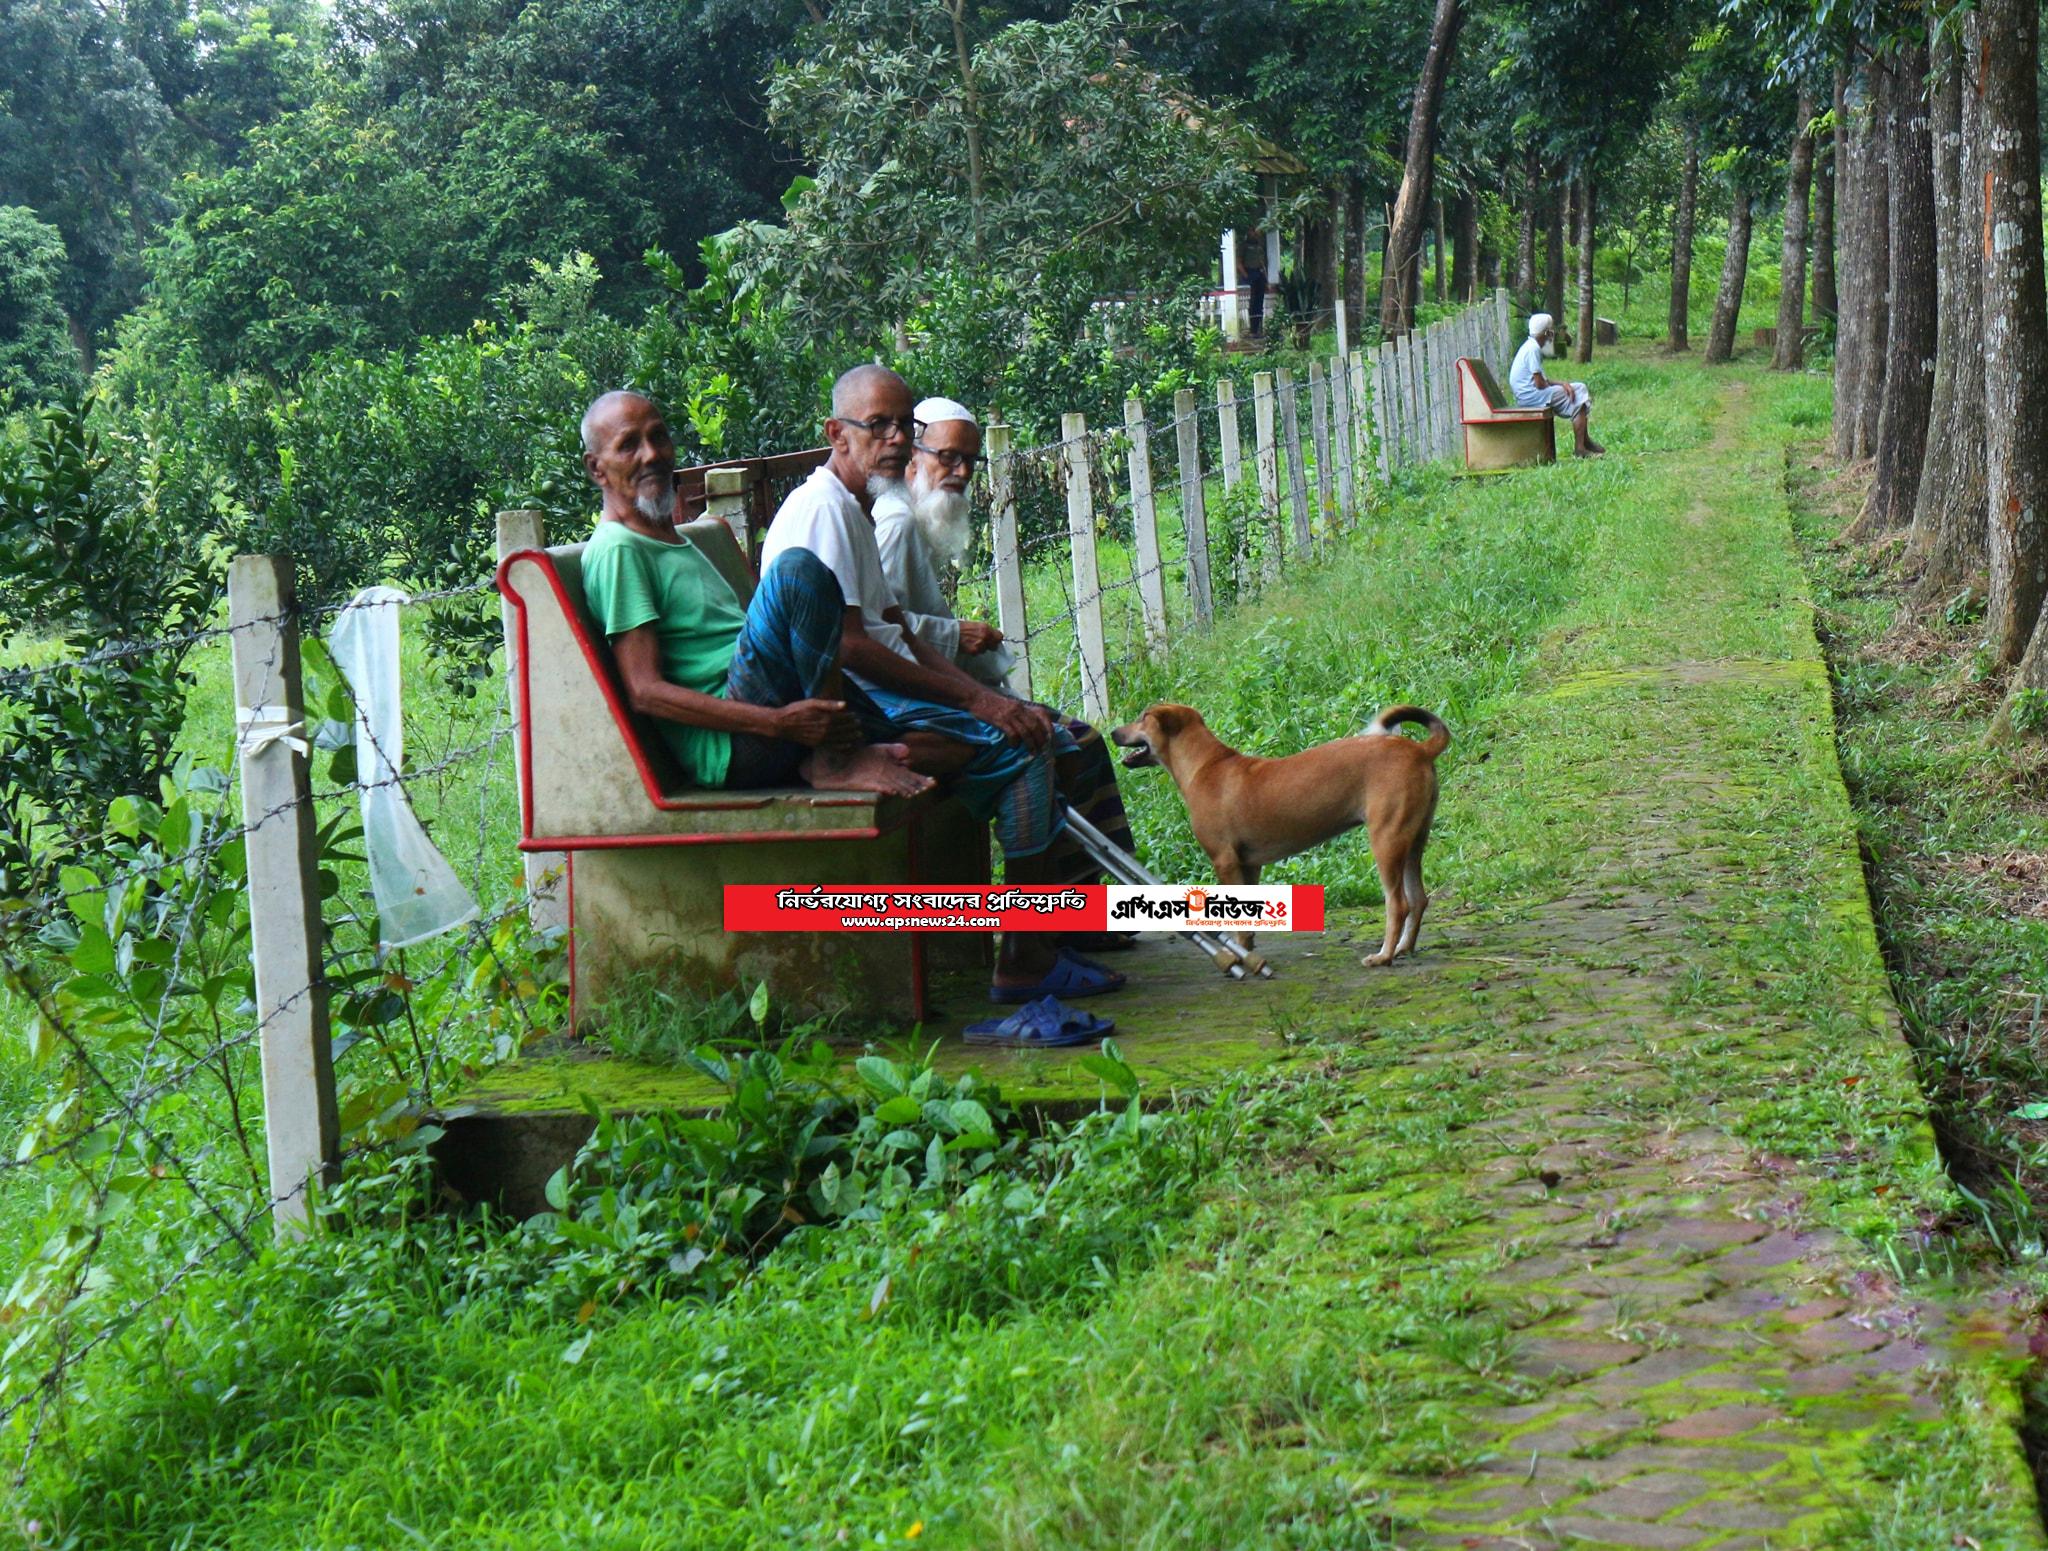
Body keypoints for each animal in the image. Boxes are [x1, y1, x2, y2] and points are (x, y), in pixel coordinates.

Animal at [1114, 704, 1449, 967]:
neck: (1206, 765)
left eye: (1143, 717)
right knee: (1418, 899)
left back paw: (1384, 956)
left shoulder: (1225, 861)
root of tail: (1420, 749)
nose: (1115, 732)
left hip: (1386, 839)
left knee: (1399, 904)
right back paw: (1405, 948)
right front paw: (1249, 952)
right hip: (1412, 839)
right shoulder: (1249, 864)